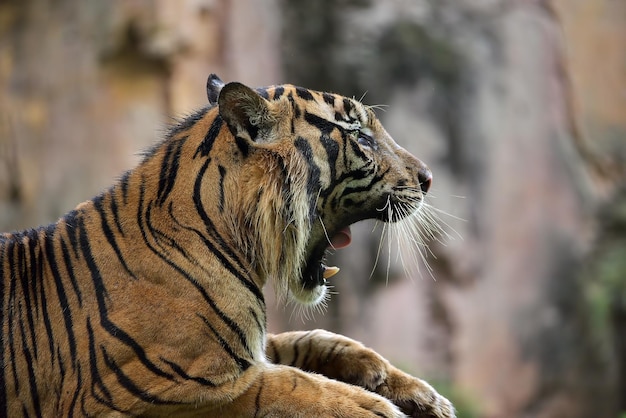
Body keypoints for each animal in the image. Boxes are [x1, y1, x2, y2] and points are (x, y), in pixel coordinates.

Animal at [0, 75, 454, 418]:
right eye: (360, 136)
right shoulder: (170, 388)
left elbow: (315, 338)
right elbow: (292, 387)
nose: (429, 178)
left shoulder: (251, 345)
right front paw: (375, 409)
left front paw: (419, 394)